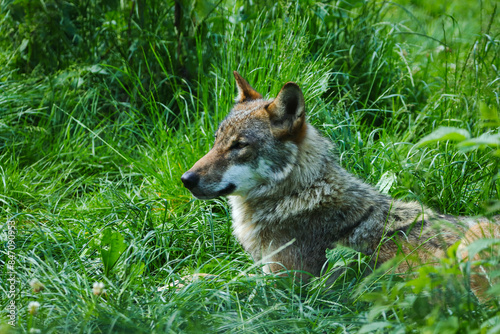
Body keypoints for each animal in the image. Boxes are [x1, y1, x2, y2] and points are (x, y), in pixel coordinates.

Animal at [182, 70, 498, 288]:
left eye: (239, 146)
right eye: (217, 141)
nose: (186, 178)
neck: (293, 196)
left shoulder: (284, 283)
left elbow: (221, 281)